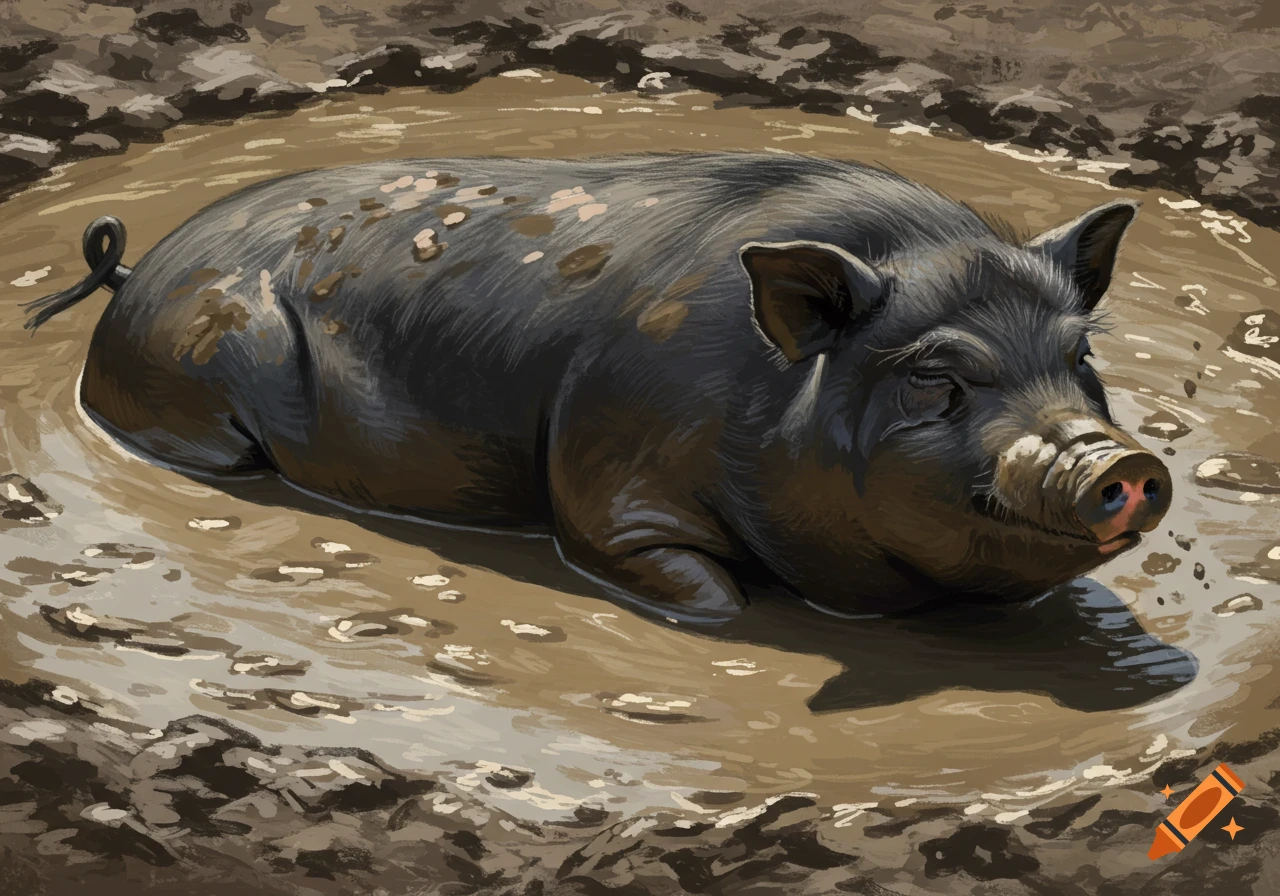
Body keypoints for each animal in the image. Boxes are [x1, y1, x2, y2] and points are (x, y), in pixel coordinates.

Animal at [24, 152, 1171, 625]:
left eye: (1078, 357)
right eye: (936, 376)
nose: (1117, 459)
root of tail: (134, 271)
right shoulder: (608, 481)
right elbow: (700, 594)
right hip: (190, 394)